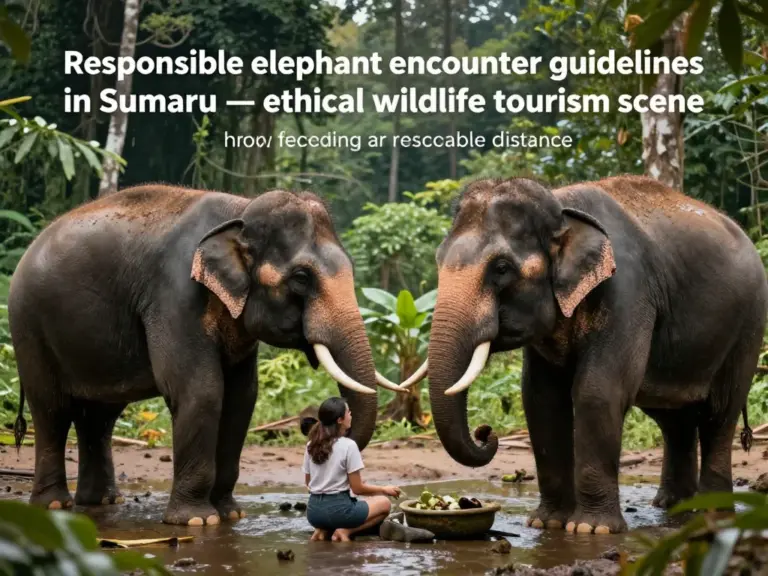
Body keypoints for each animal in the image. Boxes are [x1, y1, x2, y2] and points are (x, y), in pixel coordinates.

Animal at [8, 184, 400, 526]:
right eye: (302, 278)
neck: (240, 209)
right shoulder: (174, 295)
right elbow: (201, 391)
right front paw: (197, 520)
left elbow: (242, 398)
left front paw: (230, 514)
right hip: (28, 328)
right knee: (52, 409)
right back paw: (55, 504)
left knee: (100, 416)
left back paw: (101, 501)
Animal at [400, 175, 768, 534]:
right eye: (437, 260)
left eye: (501, 267)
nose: (486, 433)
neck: (561, 205)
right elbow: (541, 398)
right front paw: (546, 523)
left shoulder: (628, 291)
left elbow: (598, 391)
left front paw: (592, 529)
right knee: (674, 419)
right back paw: (673, 506)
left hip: (748, 328)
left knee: (719, 414)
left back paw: (713, 510)